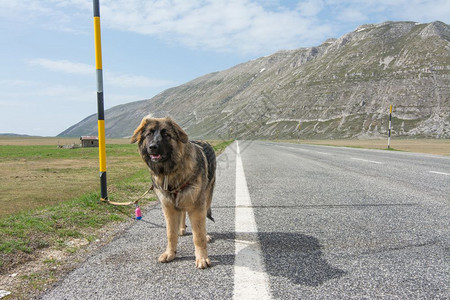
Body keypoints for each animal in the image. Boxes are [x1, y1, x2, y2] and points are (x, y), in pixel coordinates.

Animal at [130, 116, 216, 268]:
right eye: (149, 134)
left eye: (166, 134)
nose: (153, 147)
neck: (170, 173)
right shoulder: (168, 208)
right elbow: (171, 233)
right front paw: (170, 253)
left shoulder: (197, 206)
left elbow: (198, 236)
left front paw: (202, 258)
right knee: (182, 213)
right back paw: (181, 228)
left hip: (206, 197)